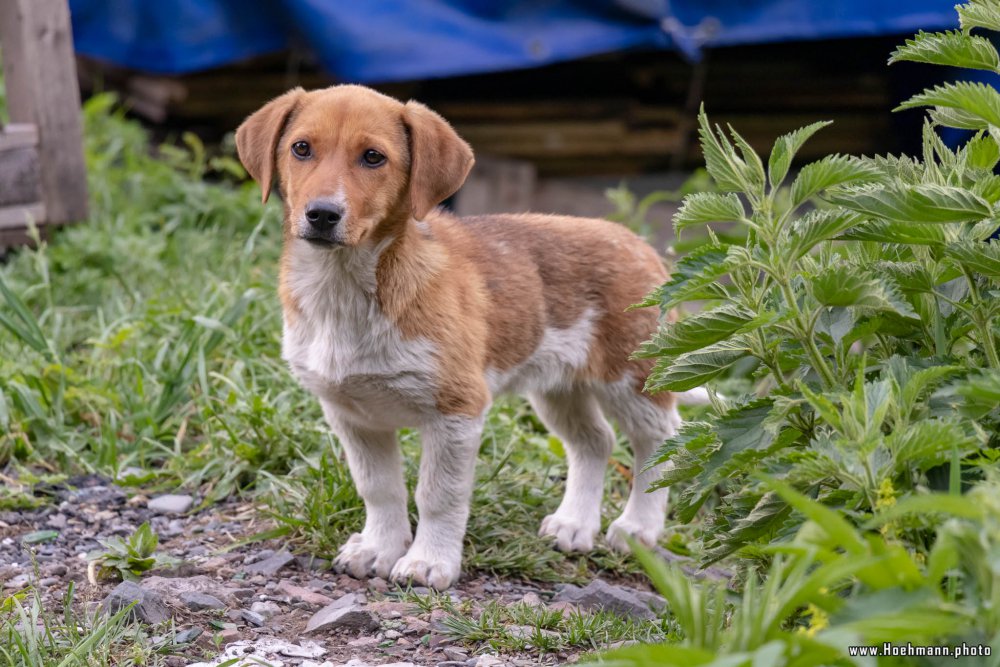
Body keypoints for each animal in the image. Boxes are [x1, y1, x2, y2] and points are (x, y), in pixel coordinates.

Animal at [236, 85, 688, 588]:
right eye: (301, 148)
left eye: (373, 157)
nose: (321, 214)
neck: (346, 290)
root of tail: (642, 245)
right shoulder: (351, 414)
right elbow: (379, 488)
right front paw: (378, 548)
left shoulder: (456, 411)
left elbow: (438, 495)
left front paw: (428, 561)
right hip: (559, 387)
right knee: (595, 441)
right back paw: (574, 525)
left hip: (631, 378)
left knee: (662, 441)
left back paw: (638, 528)